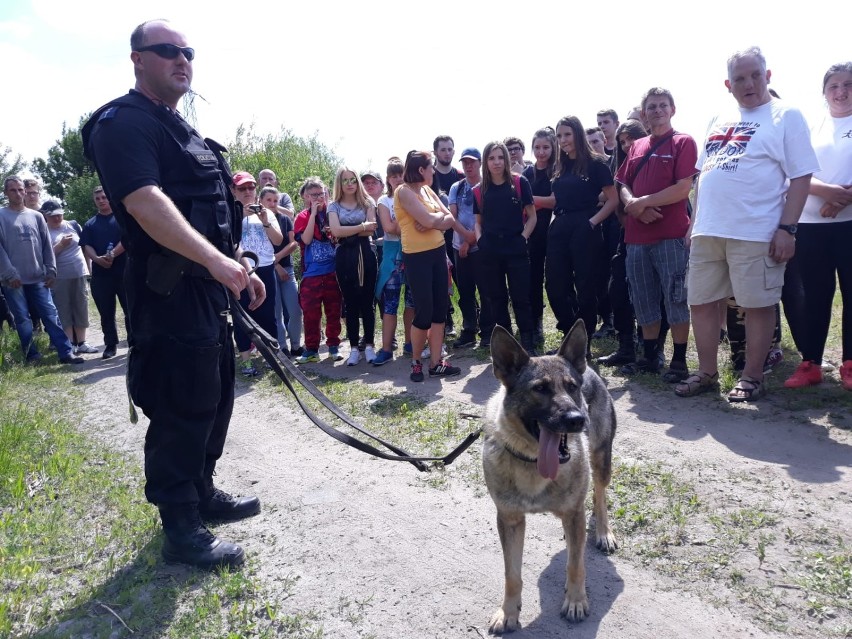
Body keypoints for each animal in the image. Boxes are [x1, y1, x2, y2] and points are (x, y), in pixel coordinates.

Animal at [482, 322, 616, 632]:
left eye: (572, 387)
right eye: (540, 389)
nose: (578, 419)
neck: (533, 462)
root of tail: (588, 368)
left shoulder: (573, 512)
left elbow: (576, 565)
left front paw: (576, 601)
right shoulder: (510, 521)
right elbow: (512, 574)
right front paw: (508, 612)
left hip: (602, 460)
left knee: (600, 493)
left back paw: (604, 532)